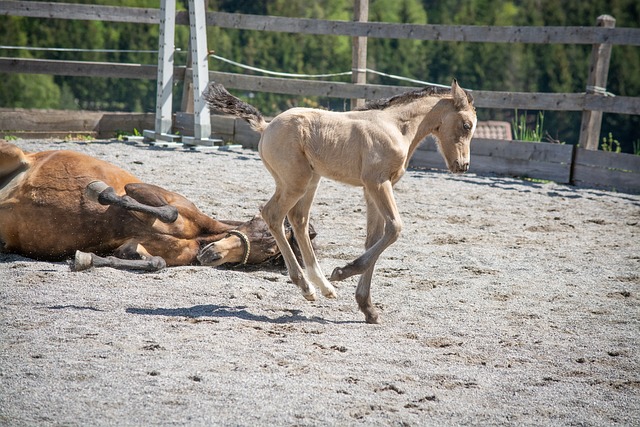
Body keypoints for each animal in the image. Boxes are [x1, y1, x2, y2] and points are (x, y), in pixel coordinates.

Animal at [0, 142, 304, 272]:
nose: (212, 255)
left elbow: (153, 261)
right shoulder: (143, 190)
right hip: (11, 152)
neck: (200, 236)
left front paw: (85, 259)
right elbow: (165, 211)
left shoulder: (133, 247)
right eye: (254, 224)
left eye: (269, 252)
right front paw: (100, 190)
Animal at [205, 79, 476, 324]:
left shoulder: (371, 190)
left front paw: (368, 308)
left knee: (298, 220)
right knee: (273, 215)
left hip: (310, 180)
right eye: (466, 125)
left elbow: (374, 238)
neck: (396, 127)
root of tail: (267, 126)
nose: (463, 166)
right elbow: (395, 228)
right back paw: (307, 286)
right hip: (296, 182)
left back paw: (323, 287)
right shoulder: (378, 183)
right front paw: (343, 272)